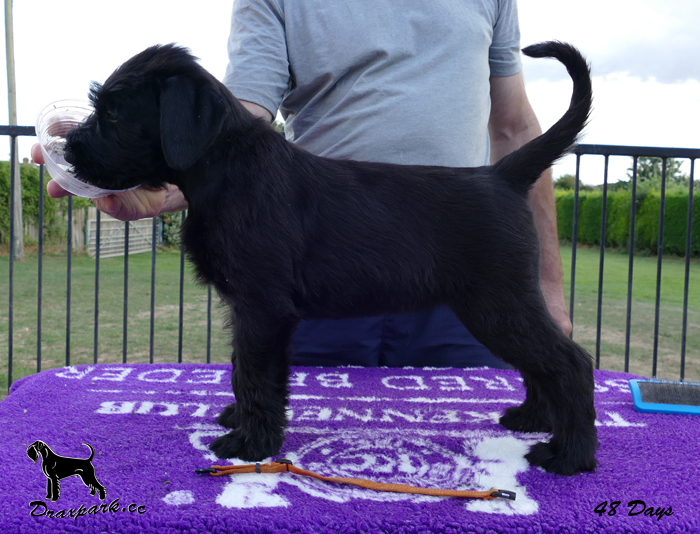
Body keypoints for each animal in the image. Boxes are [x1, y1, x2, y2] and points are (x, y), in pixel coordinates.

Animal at [63, 41, 597, 476]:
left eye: (114, 114)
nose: (68, 148)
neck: (227, 167)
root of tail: (503, 175)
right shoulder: (249, 309)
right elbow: (243, 368)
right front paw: (242, 420)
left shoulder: (263, 308)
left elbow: (254, 374)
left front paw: (249, 443)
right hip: (501, 306)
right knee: (542, 363)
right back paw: (532, 418)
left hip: (497, 303)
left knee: (568, 362)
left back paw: (569, 453)